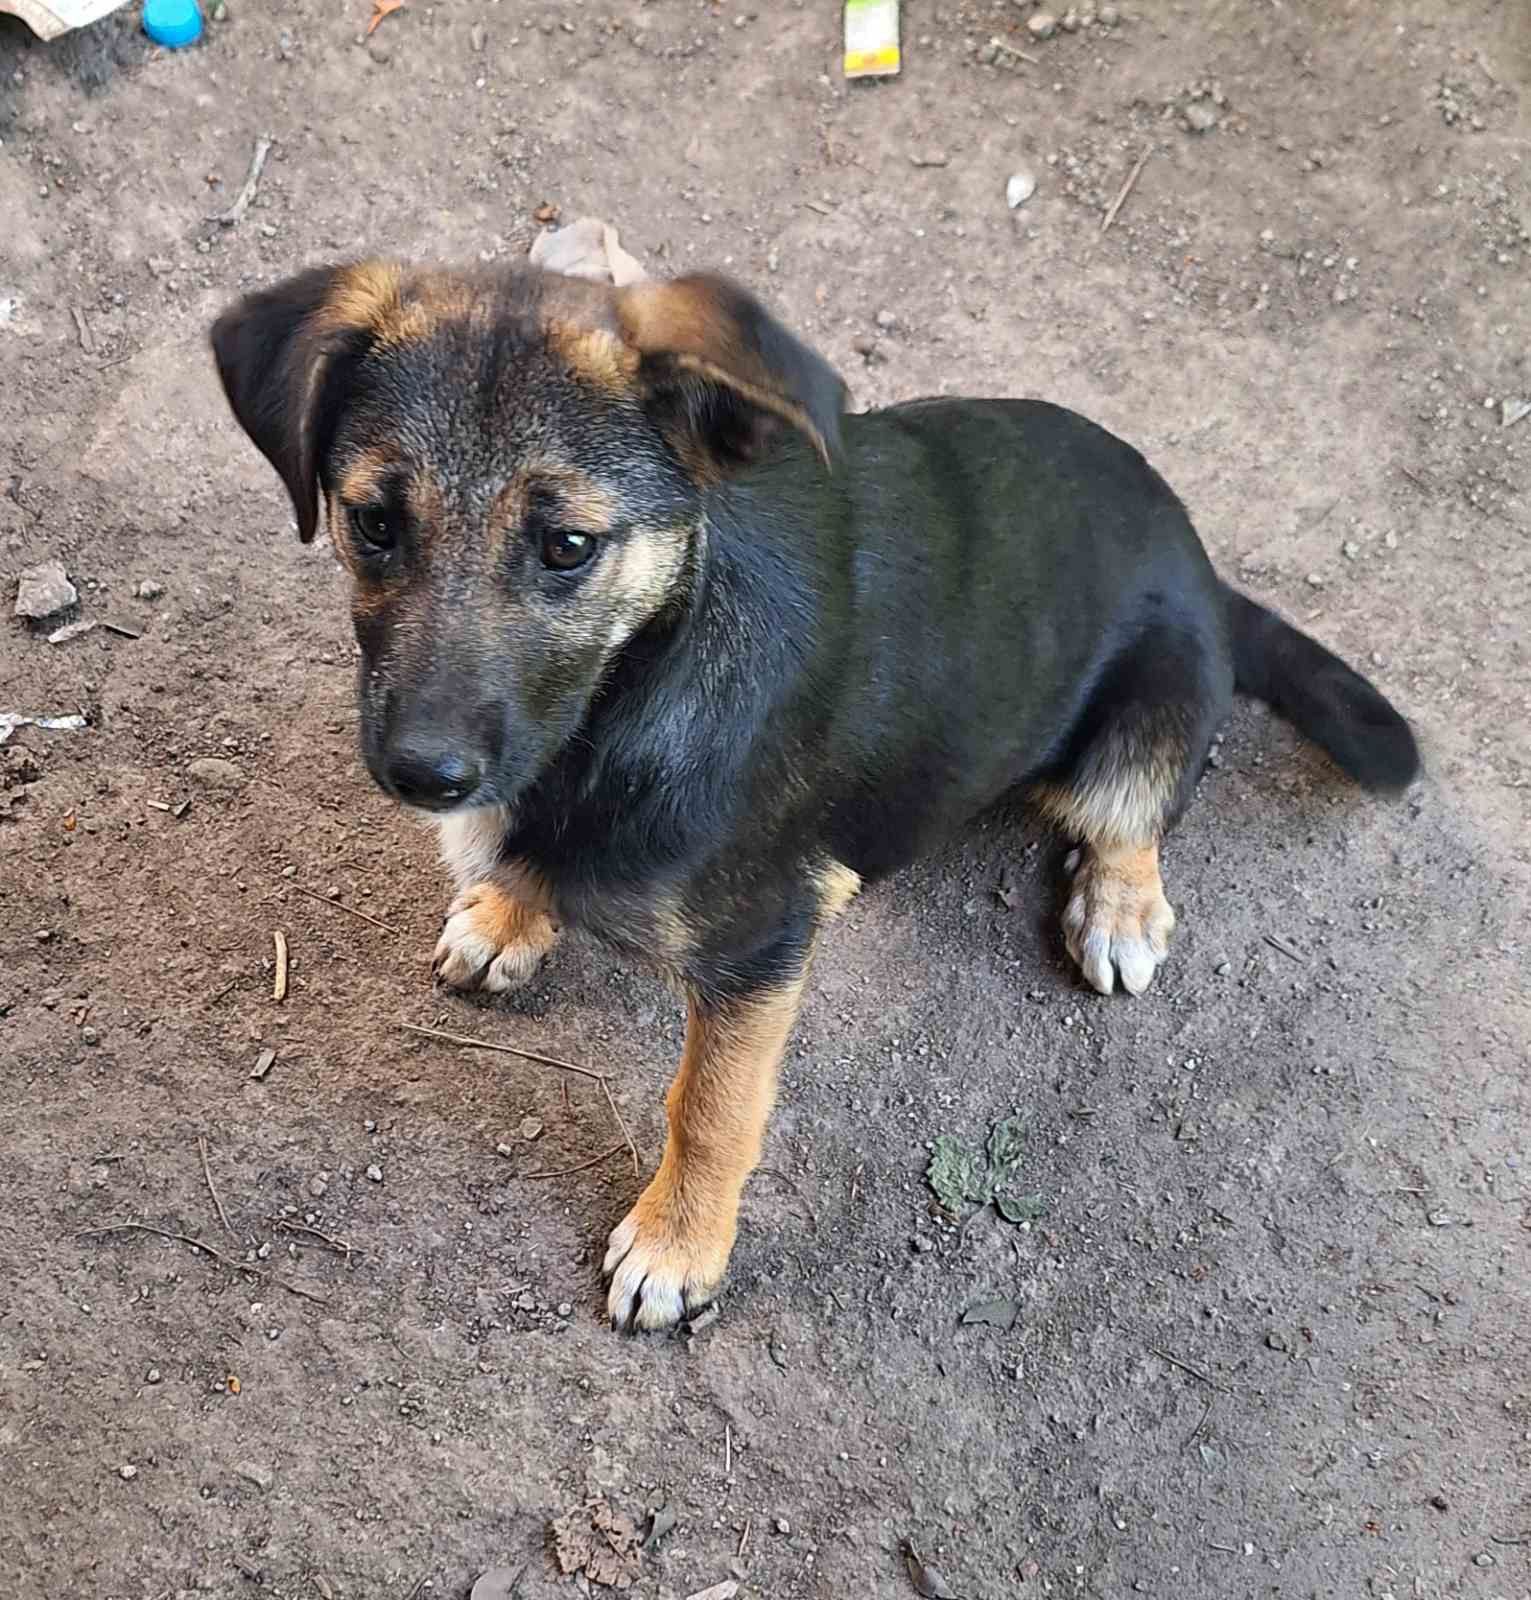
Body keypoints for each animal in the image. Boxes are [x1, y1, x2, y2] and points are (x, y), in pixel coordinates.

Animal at [209, 262, 1414, 1331]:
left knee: (1134, 818)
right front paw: (510, 912)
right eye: (372, 521)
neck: (637, 679)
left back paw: (1117, 906)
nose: (424, 773)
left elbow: (709, 1107)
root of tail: (1199, 556)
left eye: (567, 545)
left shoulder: (764, 939)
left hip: (1150, 710)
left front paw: (676, 1247)